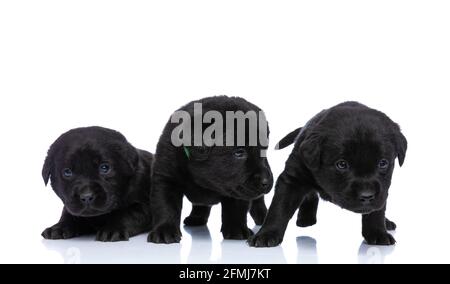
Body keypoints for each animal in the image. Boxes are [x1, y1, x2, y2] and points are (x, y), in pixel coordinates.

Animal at [149, 96, 272, 243]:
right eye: (239, 152)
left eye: (264, 150)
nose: (266, 181)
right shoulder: (166, 177)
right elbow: (166, 206)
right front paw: (164, 230)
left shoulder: (237, 188)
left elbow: (236, 208)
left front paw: (236, 229)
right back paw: (196, 217)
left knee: (259, 201)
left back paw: (263, 216)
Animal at [248, 101, 406, 246]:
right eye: (341, 164)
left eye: (383, 163)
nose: (367, 196)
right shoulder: (293, 179)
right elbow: (279, 208)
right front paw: (266, 234)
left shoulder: (383, 190)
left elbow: (377, 211)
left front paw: (378, 233)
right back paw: (306, 219)